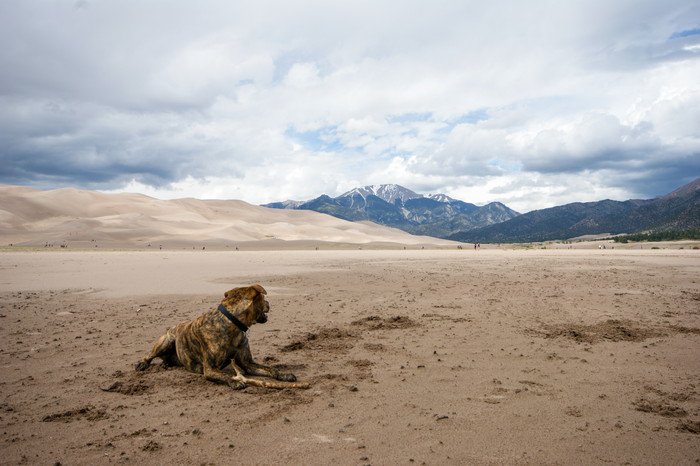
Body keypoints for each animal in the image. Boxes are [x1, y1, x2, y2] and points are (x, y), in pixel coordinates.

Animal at [136, 284, 308, 390]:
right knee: (149, 354)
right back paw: (142, 364)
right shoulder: (210, 369)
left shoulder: (247, 363)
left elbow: (271, 369)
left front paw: (284, 374)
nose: (269, 303)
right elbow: (225, 375)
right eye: (264, 298)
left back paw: (166, 364)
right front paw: (235, 382)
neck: (231, 323)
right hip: (166, 340)